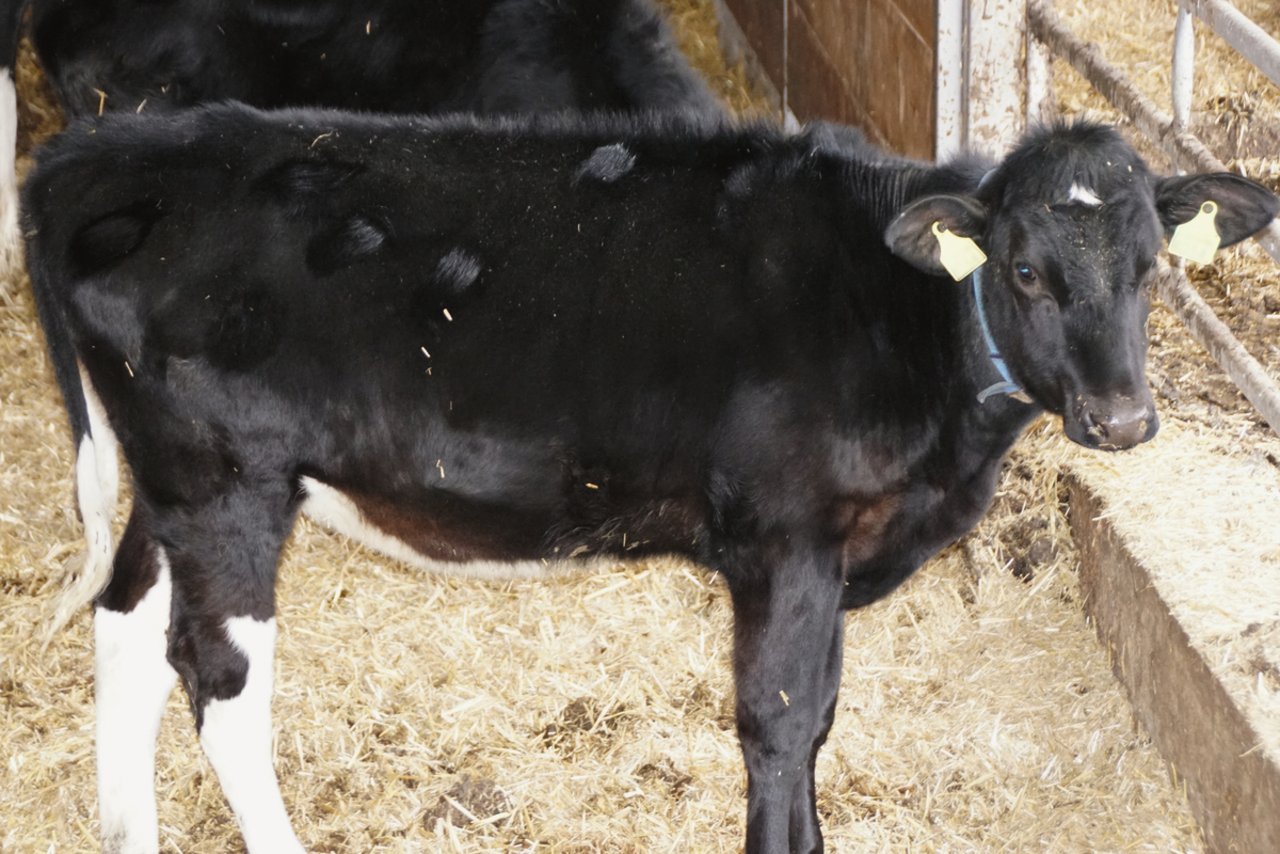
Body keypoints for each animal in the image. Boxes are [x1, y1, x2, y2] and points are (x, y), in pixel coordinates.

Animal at [22, 108, 1280, 854]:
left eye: (1152, 266)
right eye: (1021, 269)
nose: (1122, 418)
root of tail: (116, 145)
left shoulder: (832, 549)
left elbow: (818, 717)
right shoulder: (785, 536)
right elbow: (779, 718)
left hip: (174, 481)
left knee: (126, 621)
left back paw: (127, 829)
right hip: (228, 478)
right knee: (220, 679)